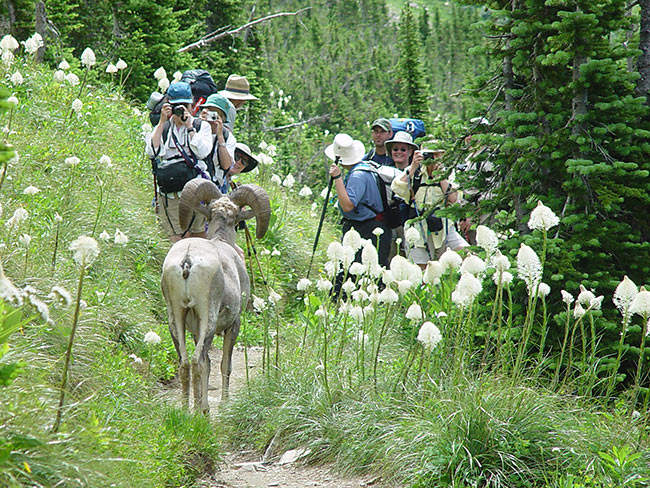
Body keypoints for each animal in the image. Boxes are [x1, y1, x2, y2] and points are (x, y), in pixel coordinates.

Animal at [161, 179, 270, 413]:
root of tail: (187, 261)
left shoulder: (193, 330)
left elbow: (210, 365)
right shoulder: (234, 324)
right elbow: (224, 365)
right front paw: (223, 404)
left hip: (176, 319)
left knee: (185, 362)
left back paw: (184, 411)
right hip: (207, 319)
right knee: (197, 362)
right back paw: (198, 413)